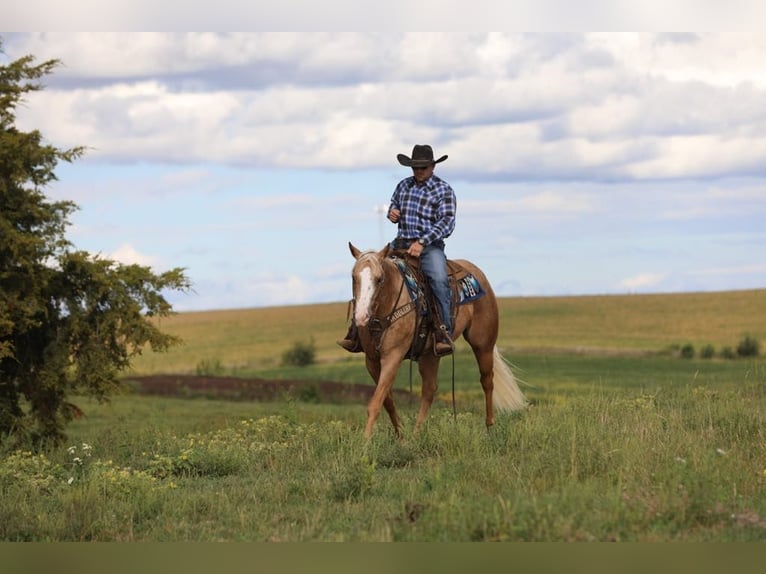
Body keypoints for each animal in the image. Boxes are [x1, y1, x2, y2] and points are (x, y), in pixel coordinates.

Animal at [348, 241, 528, 438]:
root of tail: (478, 274)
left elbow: (375, 403)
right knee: (429, 390)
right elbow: (386, 400)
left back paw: (489, 428)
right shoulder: (371, 360)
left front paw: (365, 441)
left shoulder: (392, 356)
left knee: (487, 381)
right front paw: (401, 436)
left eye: (379, 279)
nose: (361, 316)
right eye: (353, 277)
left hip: (483, 344)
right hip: (430, 354)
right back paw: (416, 435)